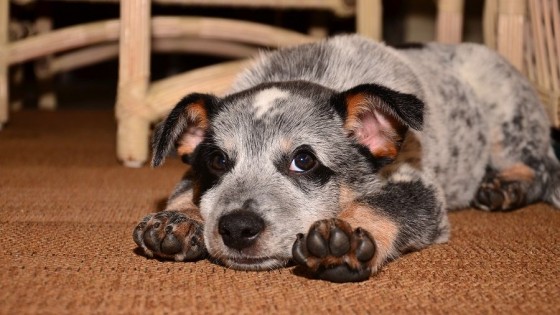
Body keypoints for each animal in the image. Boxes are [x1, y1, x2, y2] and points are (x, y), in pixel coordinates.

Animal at [132, 35, 560, 284]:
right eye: (219, 161)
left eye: (304, 160)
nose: (237, 228)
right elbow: (185, 188)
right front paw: (177, 220)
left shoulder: (418, 185)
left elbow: (383, 205)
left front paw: (346, 240)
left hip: (507, 115)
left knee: (540, 166)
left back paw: (505, 186)